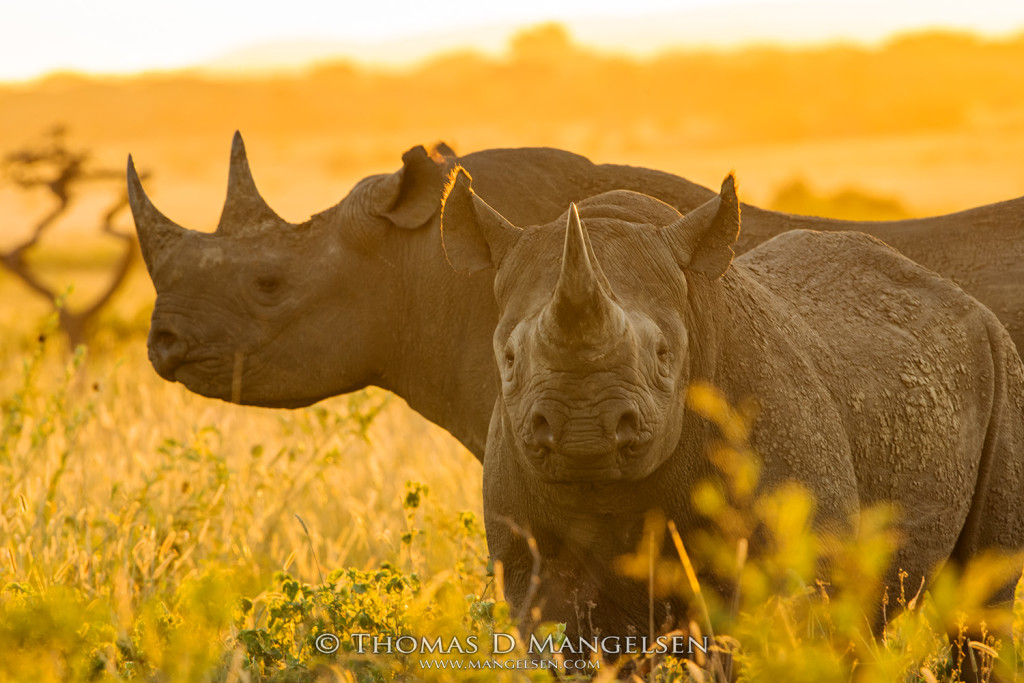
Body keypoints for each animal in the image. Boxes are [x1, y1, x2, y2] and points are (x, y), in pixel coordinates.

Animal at [439, 168, 1024, 639]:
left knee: (980, 597)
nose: (583, 428)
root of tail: (960, 295)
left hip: (1001, 359)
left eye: (663, 354)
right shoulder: (529, 567)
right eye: (509, 357)